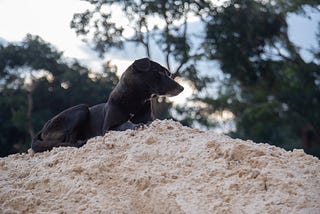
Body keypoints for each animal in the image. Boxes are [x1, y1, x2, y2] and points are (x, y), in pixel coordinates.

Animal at [31, 57, 185, 153]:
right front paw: (136, 125)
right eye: (159, 72)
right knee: (69, 140)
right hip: (82, 108)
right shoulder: (108, 128)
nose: (182, 87)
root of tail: (43, 129)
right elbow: (125, 124)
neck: (135, 101)